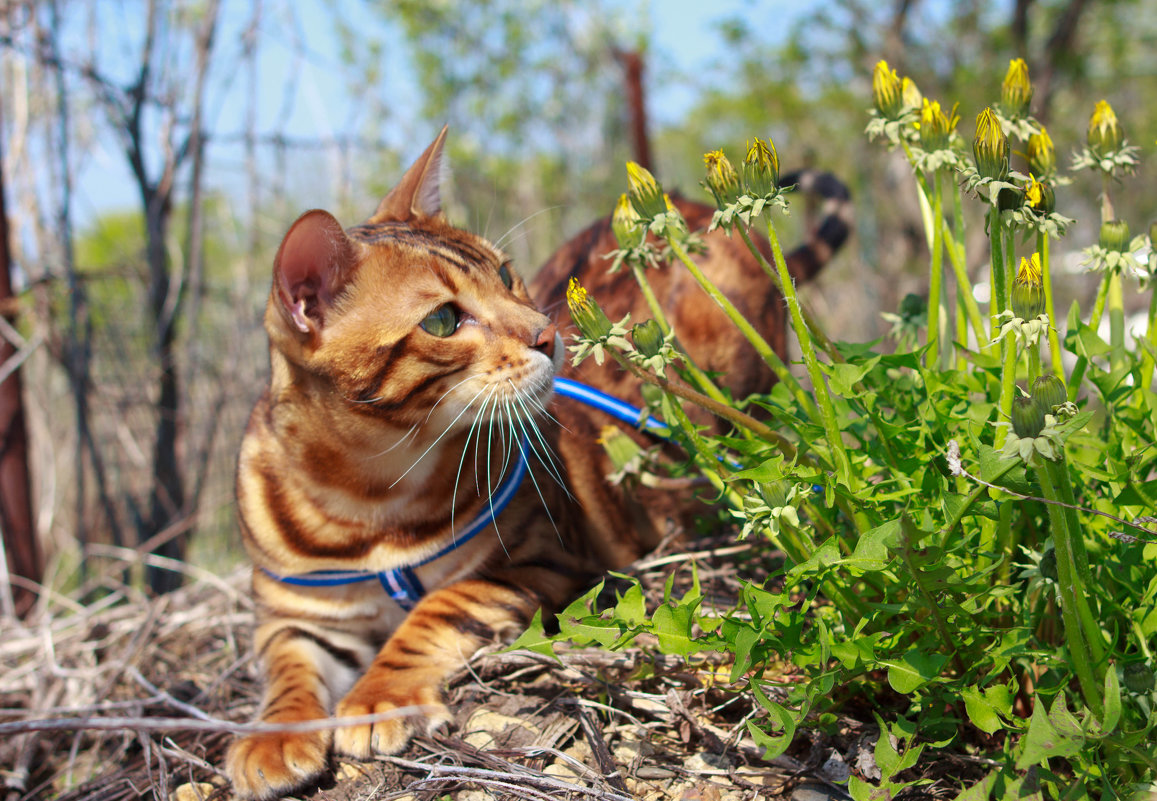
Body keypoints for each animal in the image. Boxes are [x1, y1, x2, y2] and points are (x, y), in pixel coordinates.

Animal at [225, 126, 856, 796]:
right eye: (442, 320)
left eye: (505, 274)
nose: (548, 334)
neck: (375, 494)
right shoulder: (293, 615)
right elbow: (287, 670)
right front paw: (273, 737)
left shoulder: (539, 563)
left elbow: (434, 610)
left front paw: (378, 700)